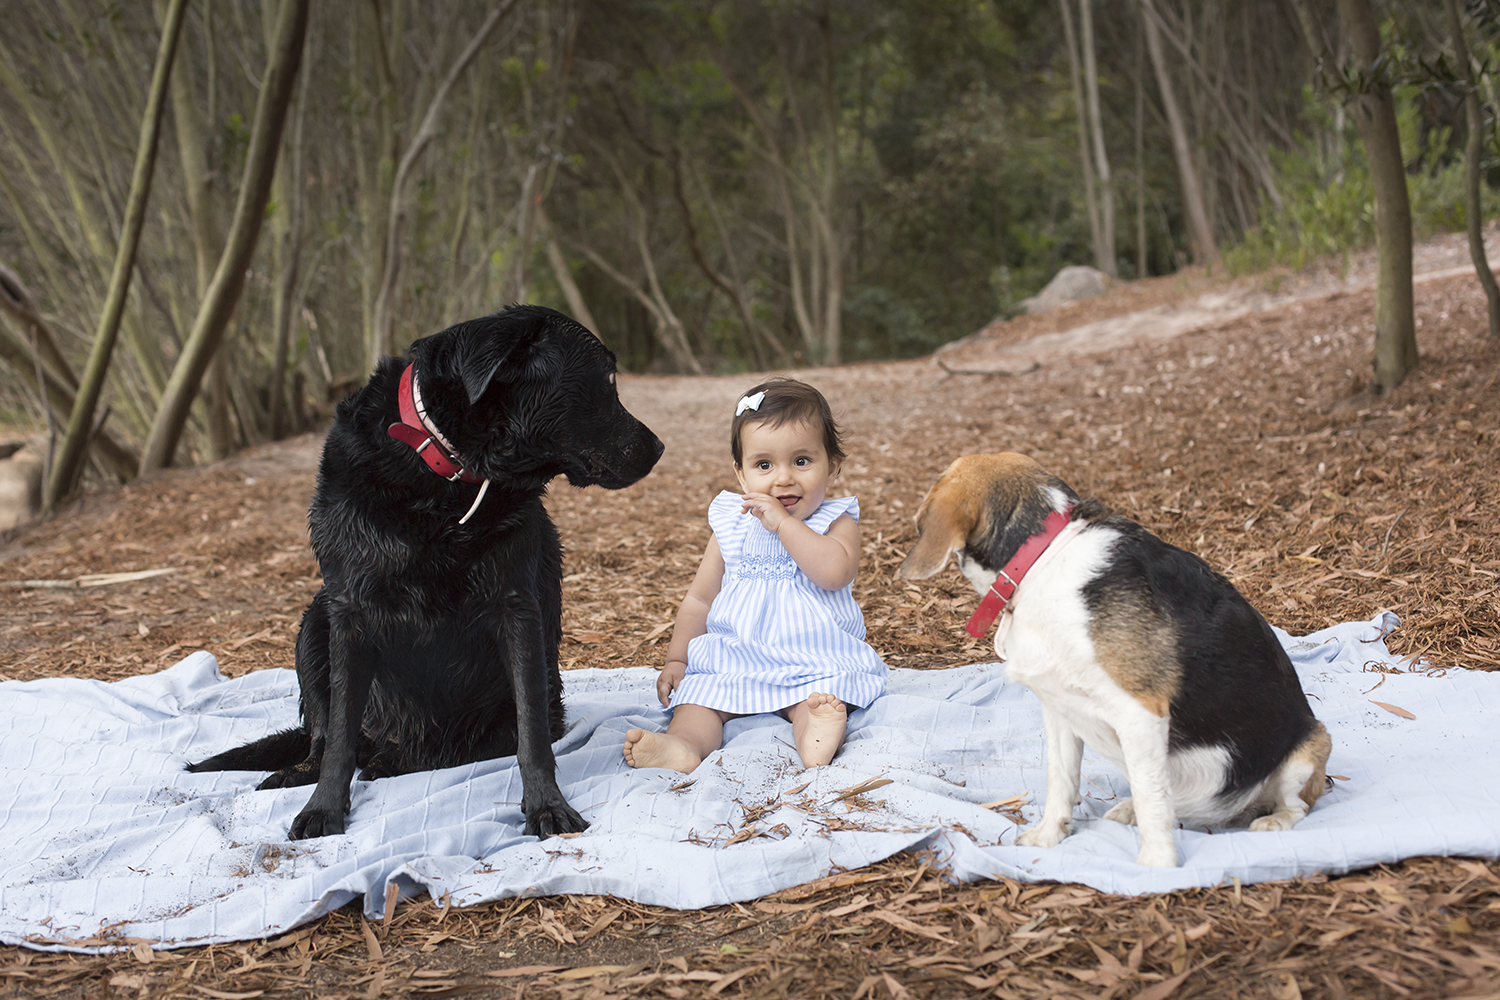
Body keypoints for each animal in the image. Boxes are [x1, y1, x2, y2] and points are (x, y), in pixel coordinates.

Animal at [187, 305, 663, 839]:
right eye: (607, 381)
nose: (659, 447)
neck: (443, 479)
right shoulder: (350, 612)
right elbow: (338, 738)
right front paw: (323, 808)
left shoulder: (516, 609)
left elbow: (532, 735)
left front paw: (546, 805)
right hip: (315, 619)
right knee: (324, 735)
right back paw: (307, 771)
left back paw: (393, 761)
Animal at [894, 455, 1332, 869]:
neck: (1045, 559)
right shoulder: (1059, 708)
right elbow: (1062, 780)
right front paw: (1050, 836)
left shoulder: (1141, 712)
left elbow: (1153, 798)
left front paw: (1157, 864)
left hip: (1310, 749)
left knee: (1296, 806)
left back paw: (1271, 820)